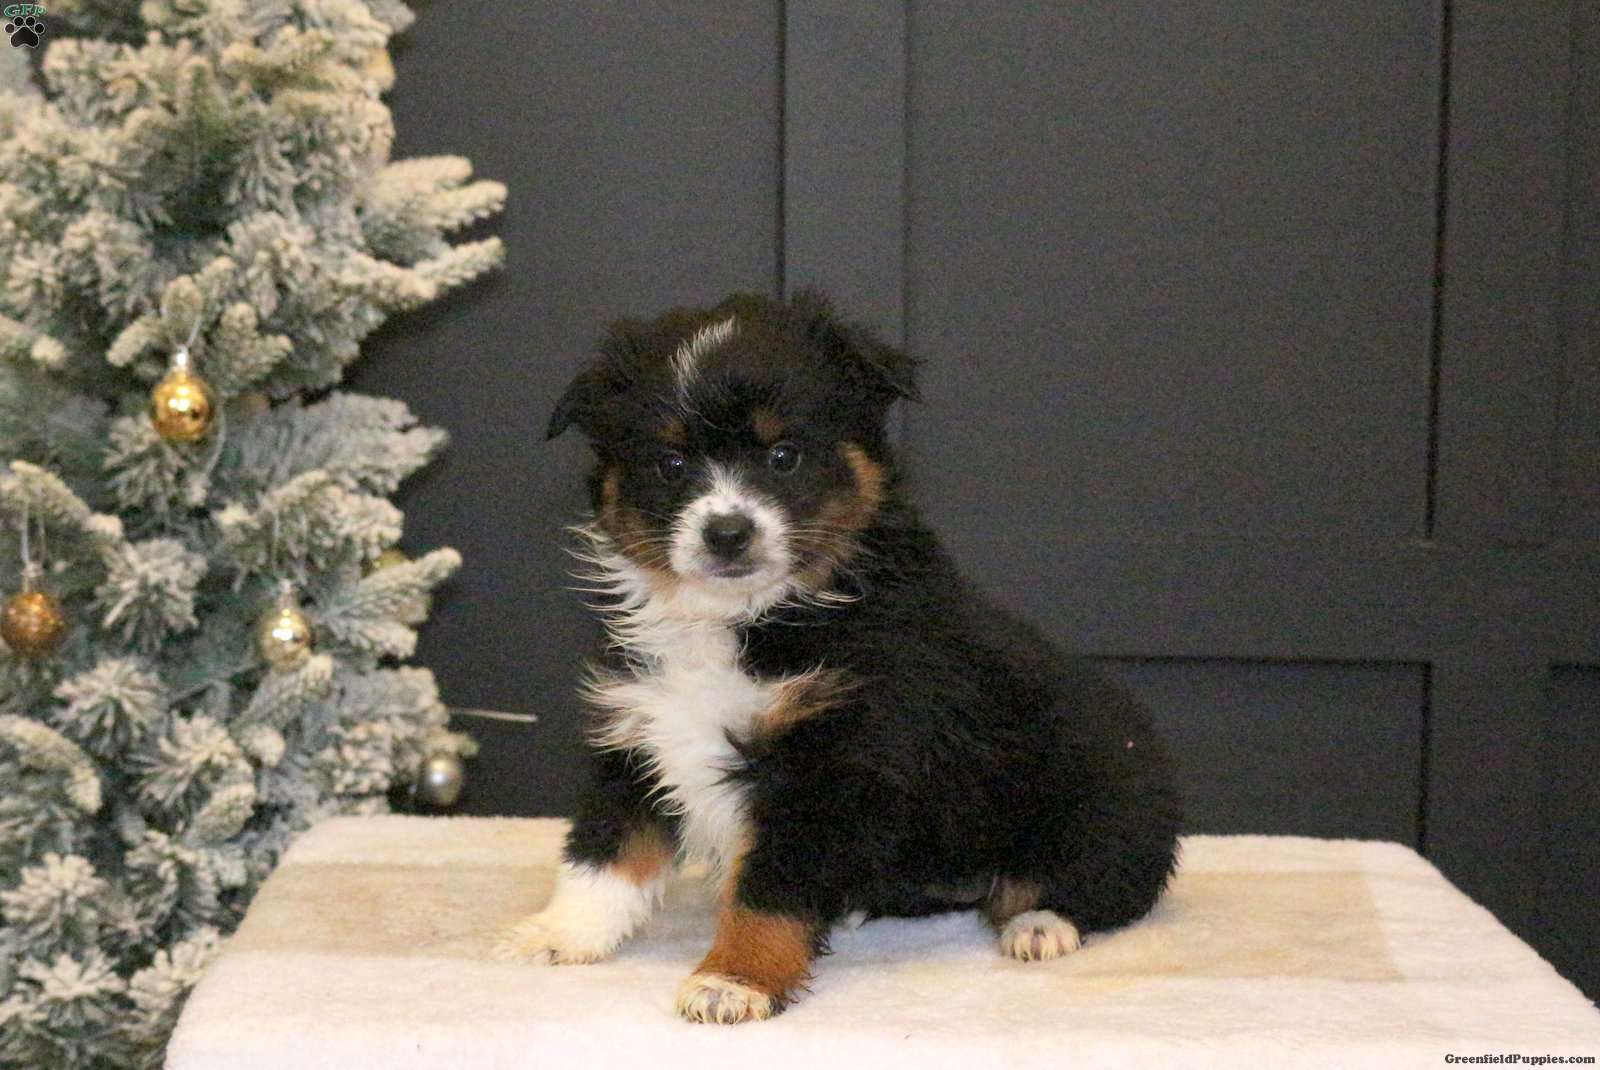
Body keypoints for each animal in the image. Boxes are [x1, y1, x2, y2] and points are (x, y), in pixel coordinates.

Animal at [497, 292, 1181, 1024]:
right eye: (670, 465)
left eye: (784, 456)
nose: (727, 533)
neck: (744, 618)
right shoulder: (638, 725)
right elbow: (606, 847)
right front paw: (559, 934)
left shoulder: (833, 760)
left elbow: (771, 888)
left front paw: (733, 979)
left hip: (1103, 802)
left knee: (1105, 884)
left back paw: (1041, 925)